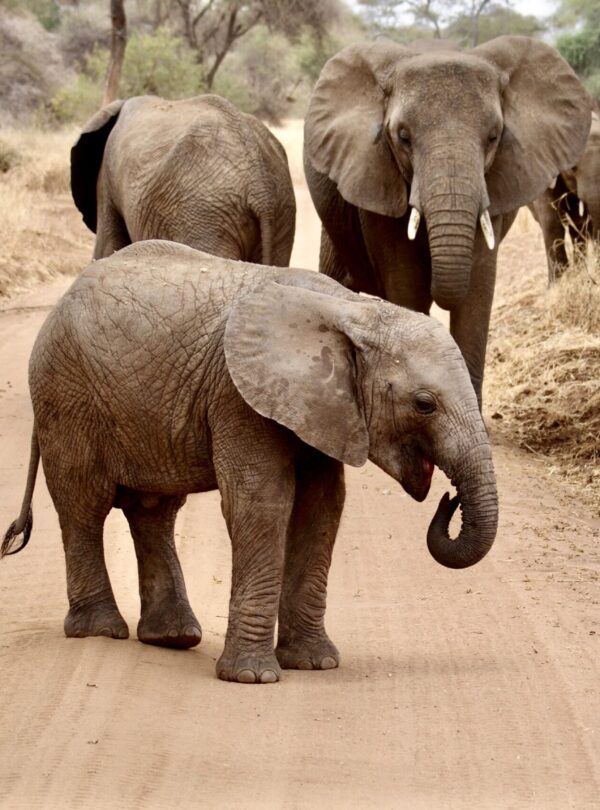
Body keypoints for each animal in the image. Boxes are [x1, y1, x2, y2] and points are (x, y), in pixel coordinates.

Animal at [2, 240, 498, 684]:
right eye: (424, 404)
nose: (449, 499)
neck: (352, 310)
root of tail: (60, 302)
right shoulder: (238, 396)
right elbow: (263, 503)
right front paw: (252, 677)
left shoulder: (324, 408)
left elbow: (322, 507)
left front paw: (315, 664)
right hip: (65, 393)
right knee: (84, 504)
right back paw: (101, 630)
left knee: (154, 510)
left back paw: (174, 637)